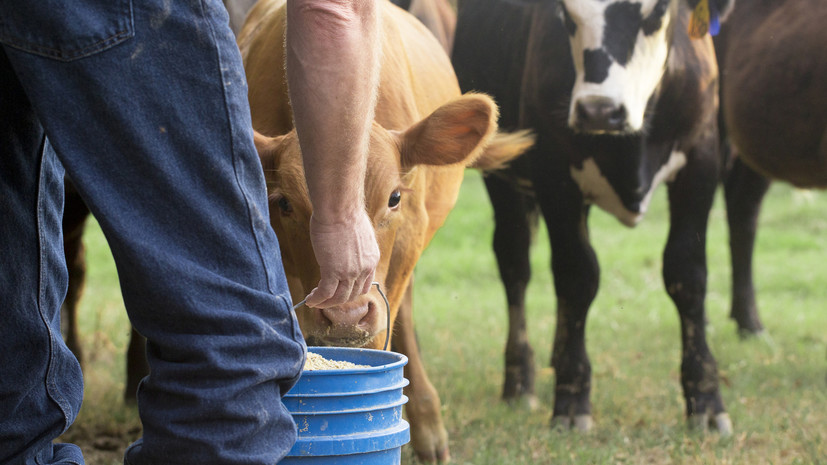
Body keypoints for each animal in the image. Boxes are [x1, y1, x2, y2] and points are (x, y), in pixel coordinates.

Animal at [452, 0, 736, 430]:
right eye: (566, 15)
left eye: (656, 14)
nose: (599, 111)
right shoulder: (554, 174)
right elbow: (577, 277)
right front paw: (571, 399)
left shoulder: (701, 162)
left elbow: (687, 275)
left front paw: (705, 399)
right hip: (500, 173)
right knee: (515, 264)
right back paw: (520, 380)